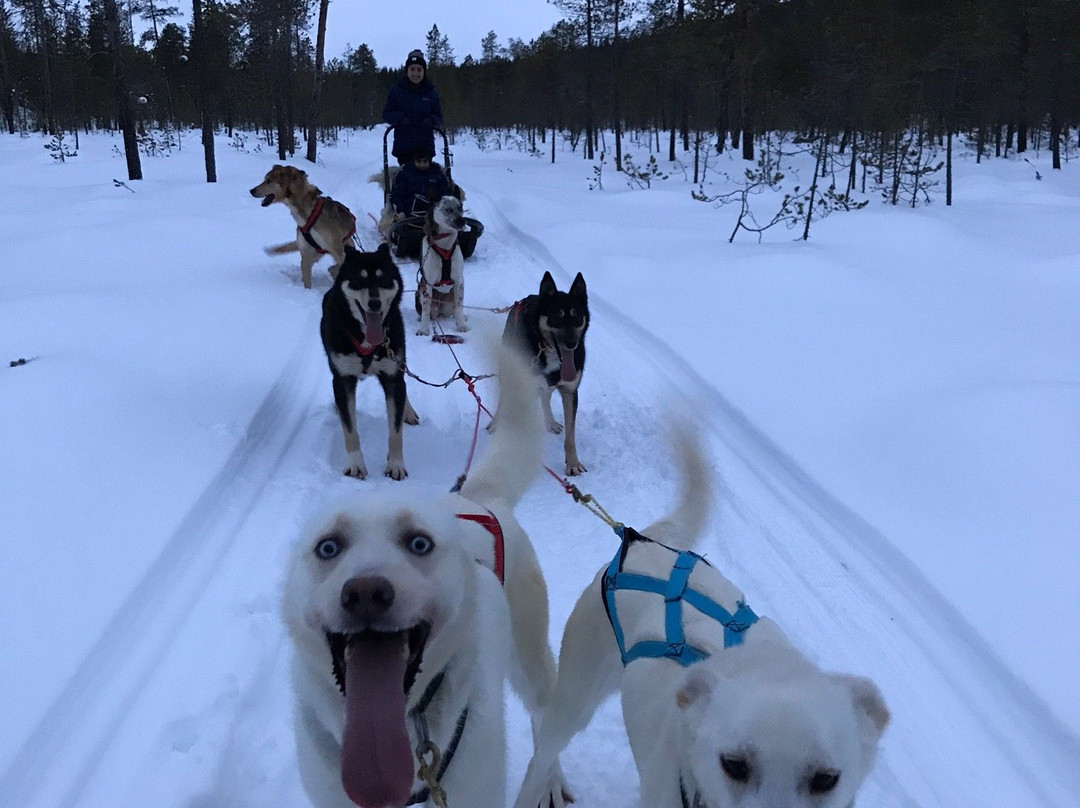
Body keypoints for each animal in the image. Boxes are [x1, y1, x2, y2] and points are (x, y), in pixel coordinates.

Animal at [287, 347, 570, 808]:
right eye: (328, 547)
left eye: (419, 543)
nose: (366, 592)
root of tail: (477, 498)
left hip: (531, 659)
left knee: (547, 720)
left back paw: (549, 782)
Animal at [412, 195, 468, 337]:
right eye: (448, 209)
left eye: (460, 208)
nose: (462, 221)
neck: (445, 245)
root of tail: (440, 311)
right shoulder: (427, 283)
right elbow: (426, 309)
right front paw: (424, 328)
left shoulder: (459, 280)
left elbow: (459, 305)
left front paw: (462, 324)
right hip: (419, 292)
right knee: (427, 311)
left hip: (448, 303)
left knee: (453, 310)